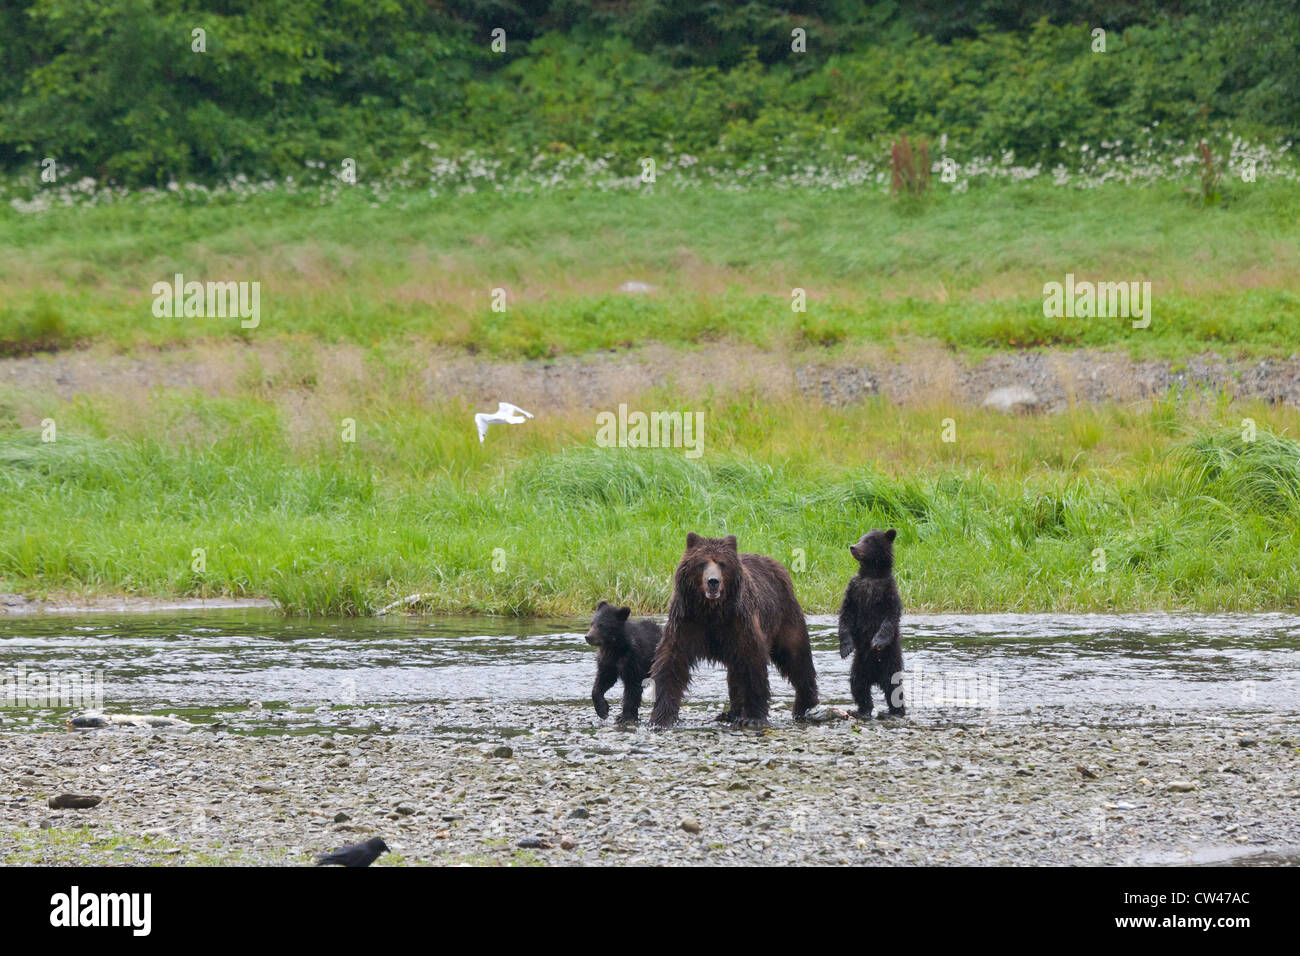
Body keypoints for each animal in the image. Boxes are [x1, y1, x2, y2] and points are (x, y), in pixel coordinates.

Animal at [648, 533, 819, 729]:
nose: (713, 581)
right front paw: (661, 718)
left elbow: (752, 661)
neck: (711, 610)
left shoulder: (739, 621)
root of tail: (776, 564)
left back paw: (804, 706)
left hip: (784, 615)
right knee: (736, 672)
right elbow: (671, 662)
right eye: (702, 563)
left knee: (795, 657)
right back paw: (731, 713)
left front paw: (752, 717)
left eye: (722, 563)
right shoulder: (687, 620)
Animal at [838, 528, 905, 719]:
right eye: (860, 538)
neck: (871, 574)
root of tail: (875, 678)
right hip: (859, 666)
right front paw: (845, 648)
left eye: (868, 541)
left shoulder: (887, 591)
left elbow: (889, 619)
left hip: (891, 663)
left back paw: (895, 712)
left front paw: (876, 641)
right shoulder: (854, 590)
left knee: (894, 688)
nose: (853, 547)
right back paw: (862, 710)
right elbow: (845, 616)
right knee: (858, 686)